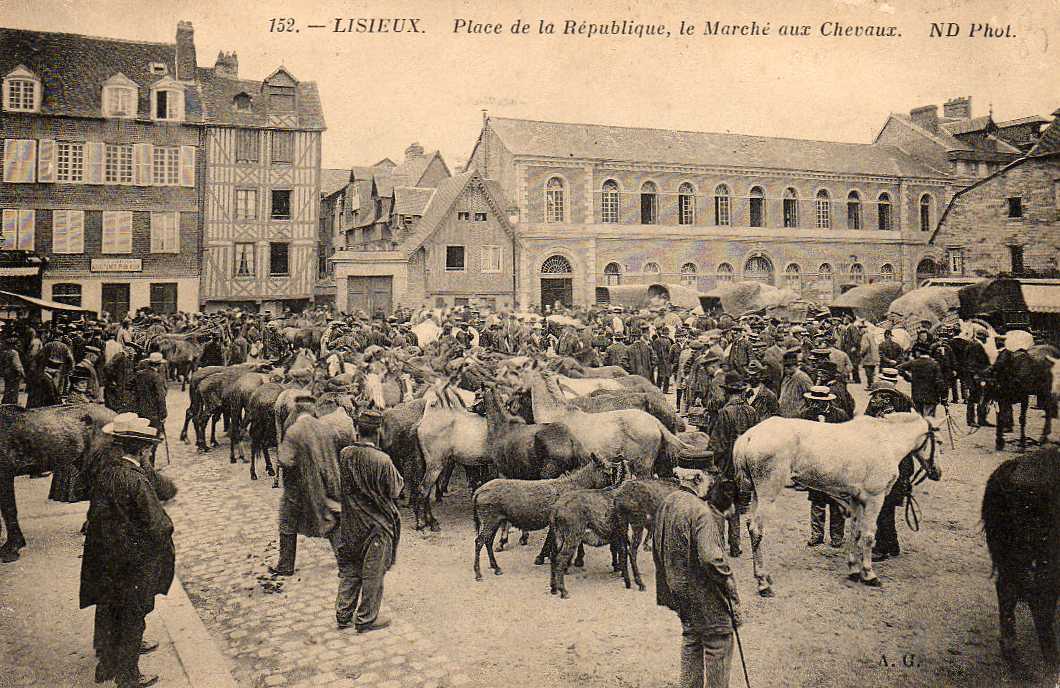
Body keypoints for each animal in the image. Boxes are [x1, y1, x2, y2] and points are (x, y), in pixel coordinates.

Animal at [733, 413, 941, 593]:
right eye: (939, 442)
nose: (937, 473)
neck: (886, 441)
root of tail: (749, 436)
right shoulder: (875, 498)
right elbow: (868, 535)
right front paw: (869, 574)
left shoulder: (857, 499)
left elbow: (856, 532)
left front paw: (854, 570)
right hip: (767, 494)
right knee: (757, 531)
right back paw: (762, 583)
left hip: (757, 494)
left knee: (750, 525)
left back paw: (763, 577)